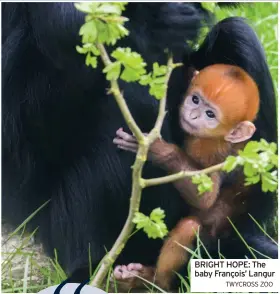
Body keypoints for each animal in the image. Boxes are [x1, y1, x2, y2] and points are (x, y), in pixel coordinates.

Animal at [112, 63, 260, 290]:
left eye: (210, 114)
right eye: (195, 100)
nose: (192, 115)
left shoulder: (210, 150)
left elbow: (206, 198)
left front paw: (158, 150)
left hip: (207, 248)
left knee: (188, 228)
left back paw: (151, 281)